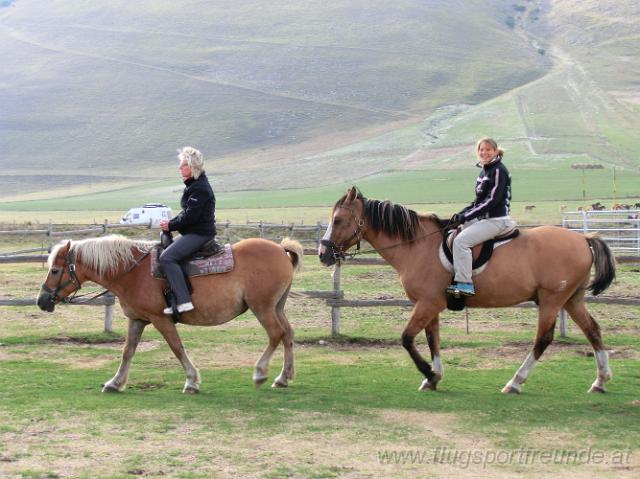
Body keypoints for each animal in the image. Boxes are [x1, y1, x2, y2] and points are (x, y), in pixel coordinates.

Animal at [37, 235, 302, 394]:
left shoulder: (160, 319)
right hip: (276, 307)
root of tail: (281, 249)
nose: (42, 301)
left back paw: (260, 373)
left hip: (263, 308)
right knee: (288, 335)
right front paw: (115, 382)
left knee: (275, 334)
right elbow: (127, 351)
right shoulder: (138, 319)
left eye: (55, 270)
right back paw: (283, 377)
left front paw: (192, 381)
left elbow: (176, 347)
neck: (132, 271)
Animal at [320, 188, 616, 394]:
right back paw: (600, 381)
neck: (417, 247)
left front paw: (429, 373)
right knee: (592, 330)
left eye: (338, 219)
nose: (323, 254)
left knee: (543, 339)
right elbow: (432, 340)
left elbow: (407, 338)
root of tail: (583, 238)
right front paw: (434, 377)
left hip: (552, 300)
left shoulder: (427, 303)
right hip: (571, 299)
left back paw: (515, 382)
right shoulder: (430, 305)